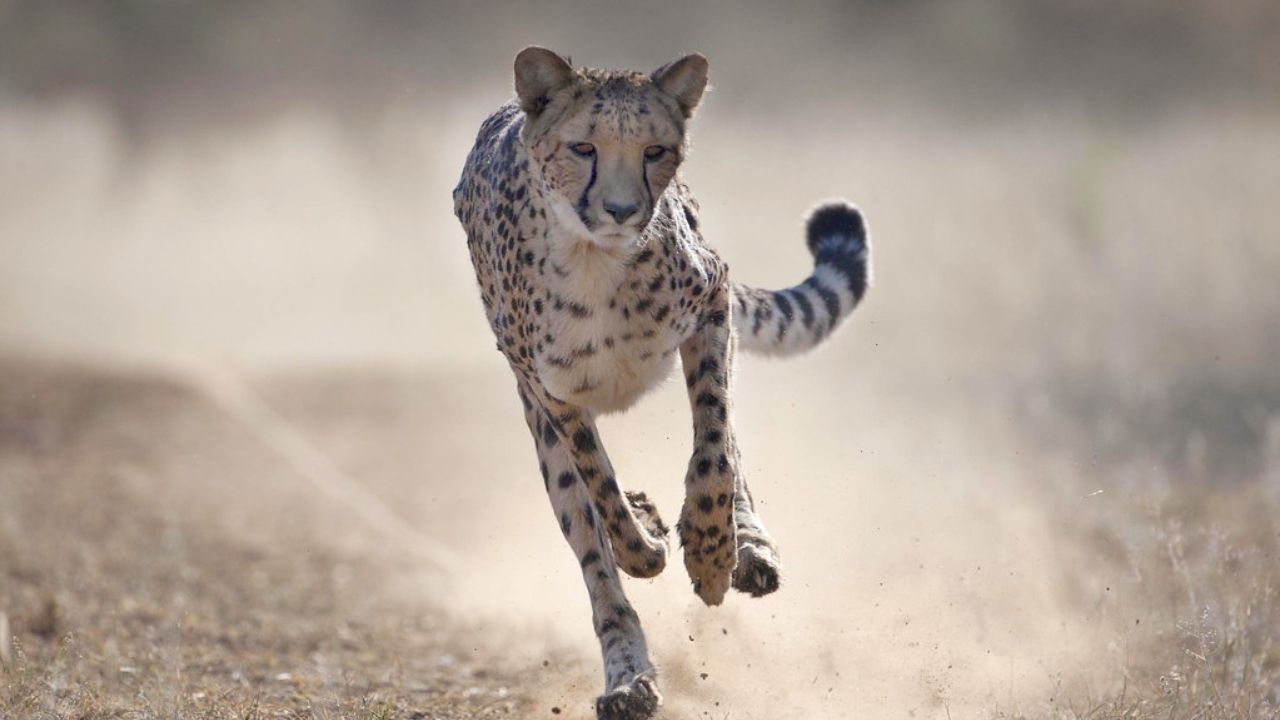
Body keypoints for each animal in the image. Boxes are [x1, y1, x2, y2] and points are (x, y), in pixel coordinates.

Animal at [452, 47, 871, 720]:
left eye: (655, 151)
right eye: (584, 148)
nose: (623, 210)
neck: (595, 260)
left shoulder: (711, 306)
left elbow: (715, 452)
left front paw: (711, 553)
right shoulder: (553, 394)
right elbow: (604, 497)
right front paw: (648, 535)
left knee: (734, 455)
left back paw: (751, 551)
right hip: (541, 433)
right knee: (593, 557)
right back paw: (629, 680)